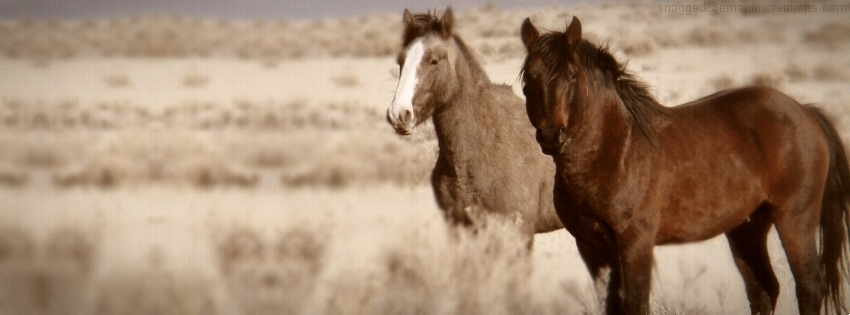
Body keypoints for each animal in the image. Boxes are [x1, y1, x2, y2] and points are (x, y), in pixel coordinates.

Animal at [516, 16, 848, 315]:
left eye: (572, 75)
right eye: (529, 78)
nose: (551, 135)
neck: (616, 150)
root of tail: (804, 110)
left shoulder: (635, 244)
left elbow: (635, 305)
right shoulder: (592, 248)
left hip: (794, 218)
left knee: (809, 286)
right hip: (747, 228)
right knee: (764, 291)